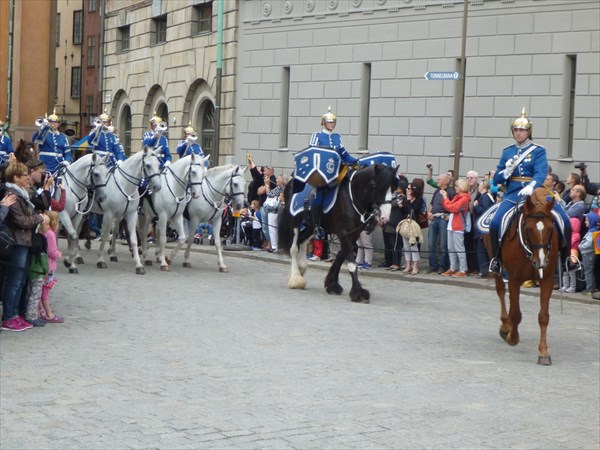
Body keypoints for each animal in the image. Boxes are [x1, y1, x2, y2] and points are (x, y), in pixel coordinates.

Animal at [278, 163, 398, 304]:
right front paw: (358, 293)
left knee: (302, 241)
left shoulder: (353, 234)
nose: (385, 216)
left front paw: (332, 284)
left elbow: (341, 257)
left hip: (310, 225)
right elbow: (351, 263)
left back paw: (301, 267)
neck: (351, 198)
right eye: (376, 184)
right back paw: (296, 278)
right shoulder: (344, 233)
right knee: (294, 248)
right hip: (295, 220)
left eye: (393, 187)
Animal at [494, 186, 560, 366]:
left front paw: (543, 352)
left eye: (551, 228)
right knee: (501, 291)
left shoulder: (547, 280)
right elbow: (516, 314)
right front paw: (512, 337)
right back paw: (506, 326)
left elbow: (543, 317)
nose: (541, 262)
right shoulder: (514, 278)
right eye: (529, 229)